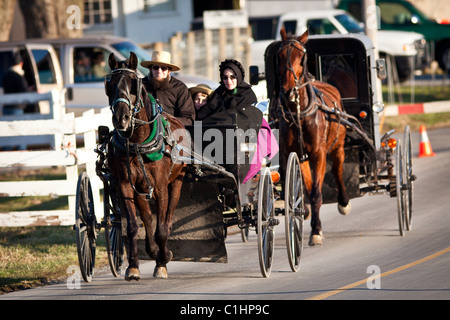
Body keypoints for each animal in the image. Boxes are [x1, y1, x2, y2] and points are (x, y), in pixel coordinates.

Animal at [104, 52, 187, 280]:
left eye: (134, 84)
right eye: (109, 84)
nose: (121, 118)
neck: (137, 142)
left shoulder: (160, 187)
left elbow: (162, 229)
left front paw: (162, 262)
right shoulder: (125, 185)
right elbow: (133, 226)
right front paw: (133, 267)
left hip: (177, 182)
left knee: (167, 219)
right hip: (140, 188)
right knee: (148, 219)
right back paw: (152, 250)